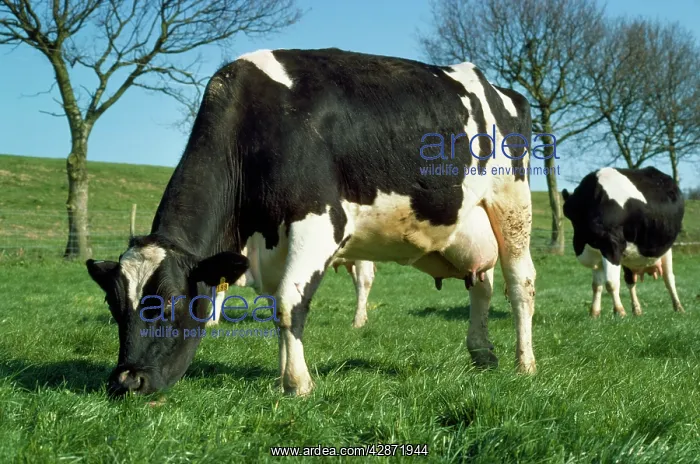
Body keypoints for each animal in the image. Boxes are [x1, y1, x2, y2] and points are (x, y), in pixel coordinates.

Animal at [562, 166, 685, 318]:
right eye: (569, 214)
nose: (595, 230)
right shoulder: (597, 254)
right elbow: (597, 285)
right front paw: (594, 313)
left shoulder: (612, 246)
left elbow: (610, 283)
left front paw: (619, 311)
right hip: (628, 256)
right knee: (630, 280)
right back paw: (637, 310)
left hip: (666, 249)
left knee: (669, 279)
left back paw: (678, 307)